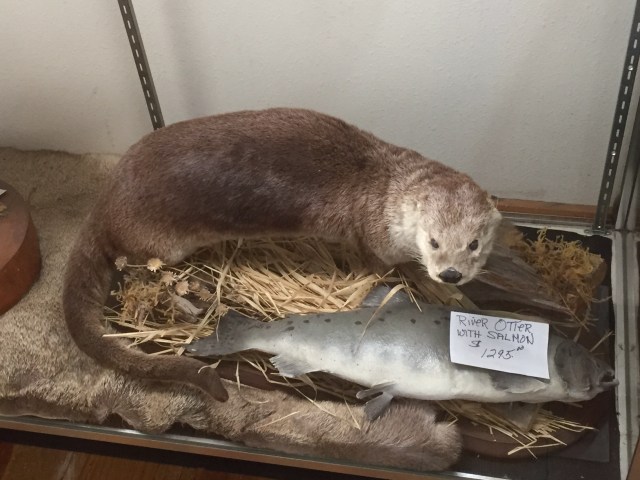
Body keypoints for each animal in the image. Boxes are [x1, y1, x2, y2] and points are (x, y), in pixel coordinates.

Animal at [63, 108, 502, 402]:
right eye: (433, 241)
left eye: (474, 244)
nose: (450, 273)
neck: (386, 194)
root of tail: (106, 201)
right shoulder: (376, 240)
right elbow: (383, 269)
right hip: (161, 242)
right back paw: (187, 305)